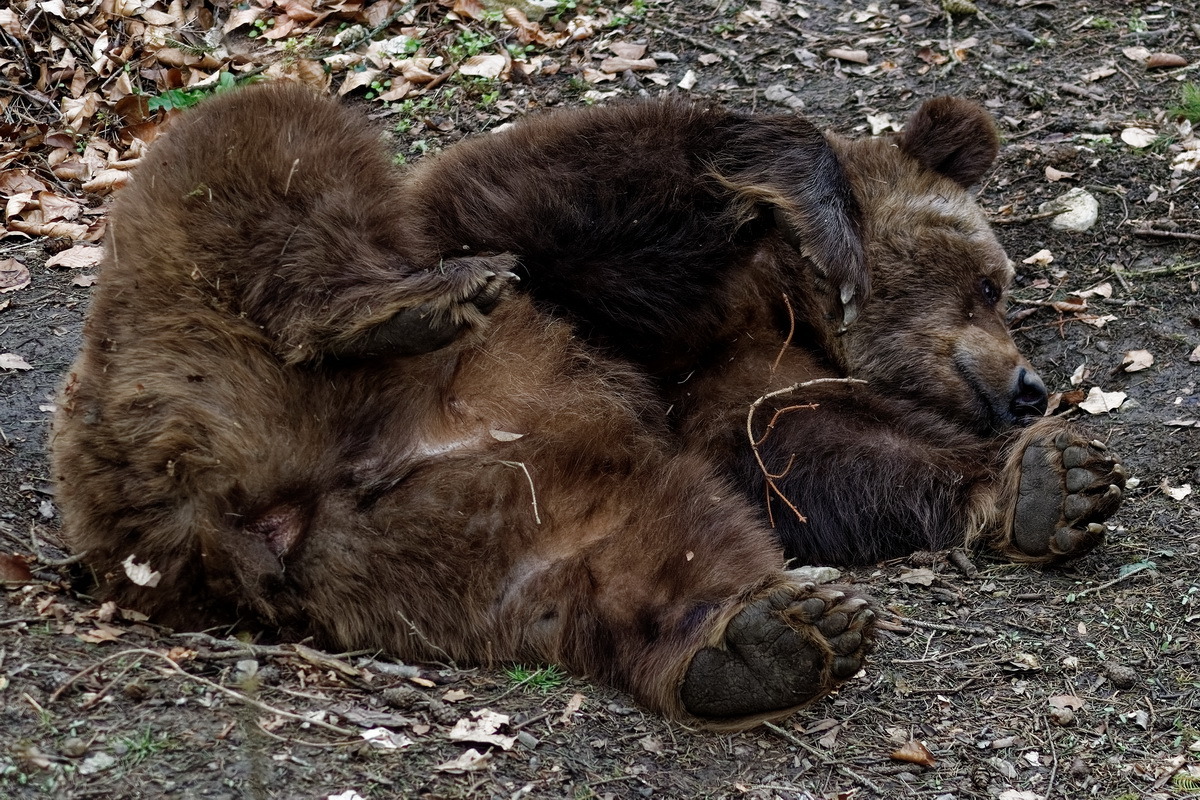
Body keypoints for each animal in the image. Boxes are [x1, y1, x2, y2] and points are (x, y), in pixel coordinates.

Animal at [49, 86, 873, 734]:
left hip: (463, 539)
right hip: (186, 336)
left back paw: (765, 645)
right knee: (267, 143)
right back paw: (408, 306)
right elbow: (608, 179)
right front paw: (816, 218)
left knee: (646, 555)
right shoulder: (525, 227)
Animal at [400, 95, 1123, 563]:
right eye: (990, 285)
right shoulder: (568, 221)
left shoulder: (748, 373)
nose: (1031, 388)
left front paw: (1056, 483)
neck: (778, 294)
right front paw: (829, 227)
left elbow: (818, 456)